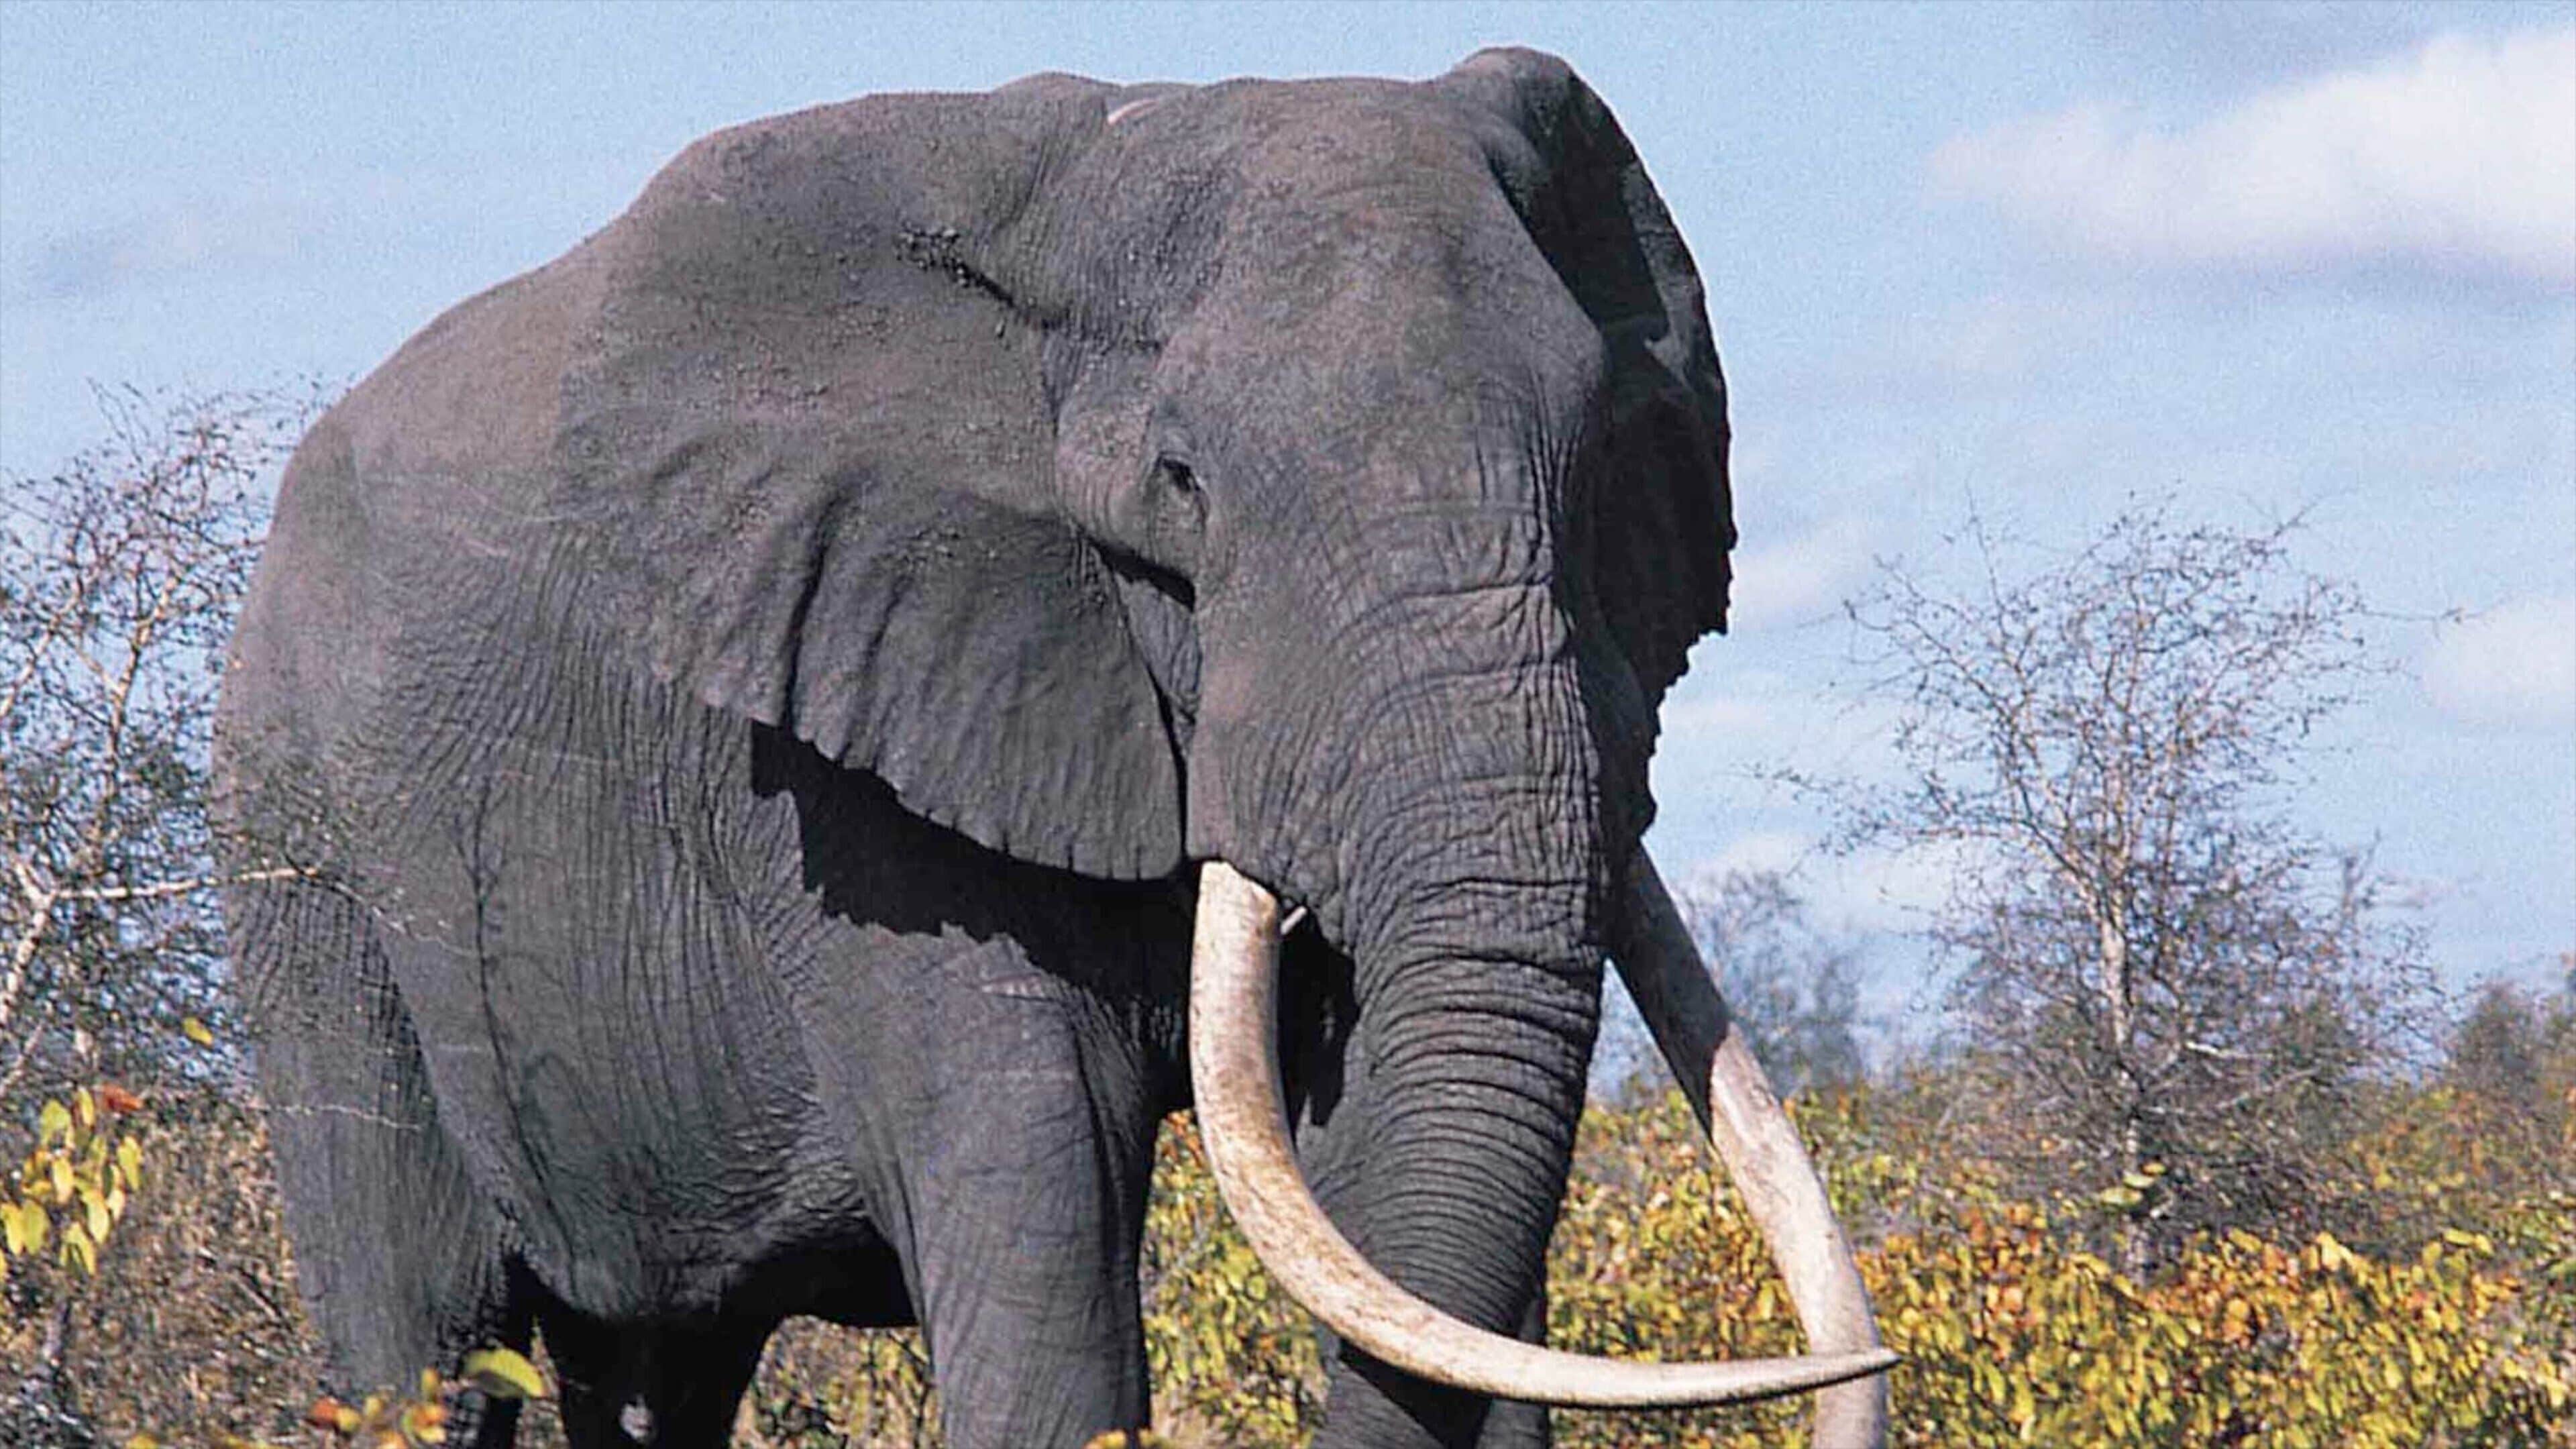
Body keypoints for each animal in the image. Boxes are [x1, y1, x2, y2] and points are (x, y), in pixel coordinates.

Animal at [215, 47, 1892, 1449]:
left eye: (1603, 464)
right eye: (1181, 485)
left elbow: (1388, 1175)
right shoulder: (840, 776)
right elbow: (1047, 1203)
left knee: (661, 1373)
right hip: (311, 876)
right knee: (427, 1337)